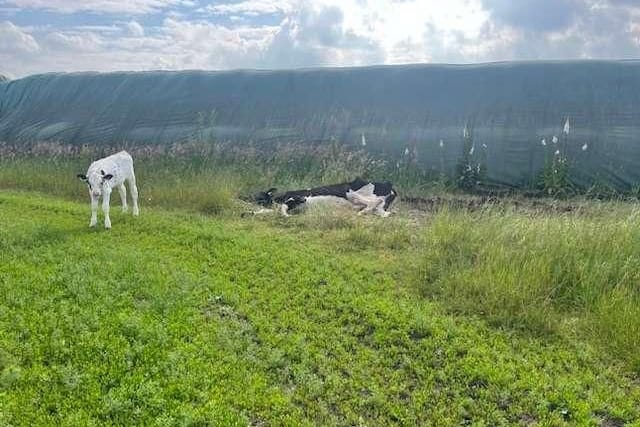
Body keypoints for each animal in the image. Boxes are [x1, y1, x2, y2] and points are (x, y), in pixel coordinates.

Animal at [252, 177, 398, 217]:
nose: (248, 197)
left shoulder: (298, 197)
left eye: (259, 196)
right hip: (380, 208)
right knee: (384, 212)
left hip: (349, 192)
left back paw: (360, 213)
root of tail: (388, 185)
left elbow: (283, 208)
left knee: (374, 202)